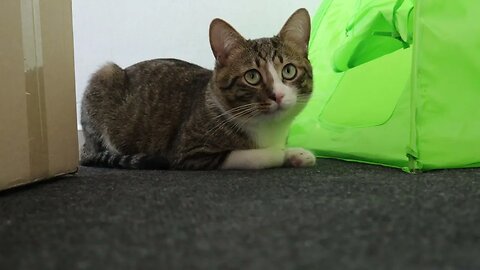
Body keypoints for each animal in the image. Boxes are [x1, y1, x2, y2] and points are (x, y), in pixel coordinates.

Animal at [80, 8, 316, 171]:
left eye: (288, 71)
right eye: (252, 76)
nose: (278, 95)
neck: (268, 128)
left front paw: (296, 153)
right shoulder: (188, 152)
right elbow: (249, 155)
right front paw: (279, 153)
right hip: (105, 74)